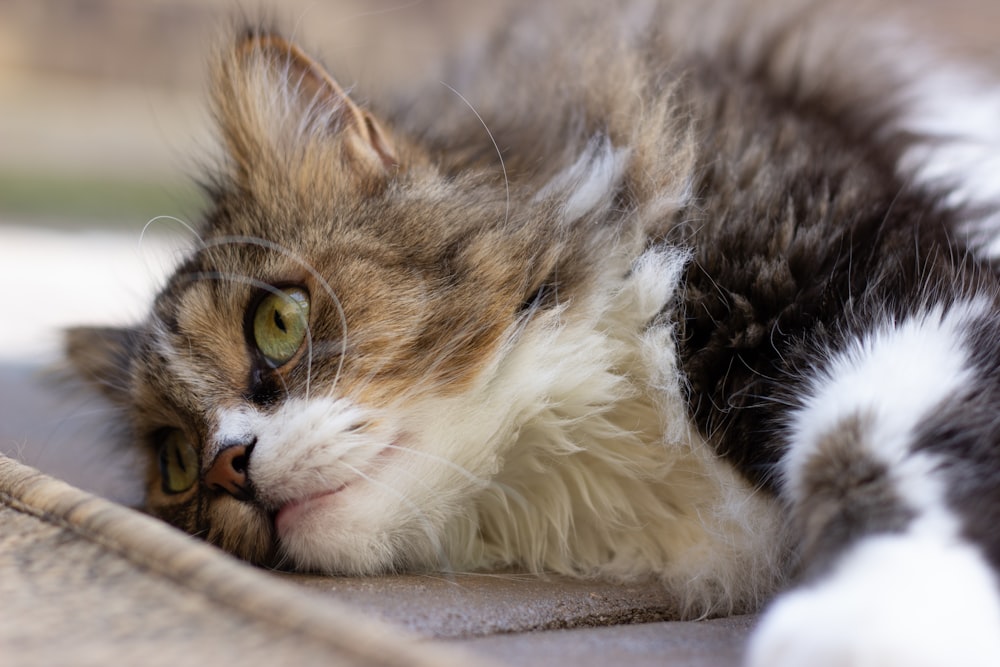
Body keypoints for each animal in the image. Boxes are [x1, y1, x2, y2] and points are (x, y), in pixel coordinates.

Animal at [66, 0, 1000, 664]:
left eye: (277, 321)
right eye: (176, 463)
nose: (228, 463)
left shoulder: (895, 289)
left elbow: (874, 444)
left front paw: (882, 619)